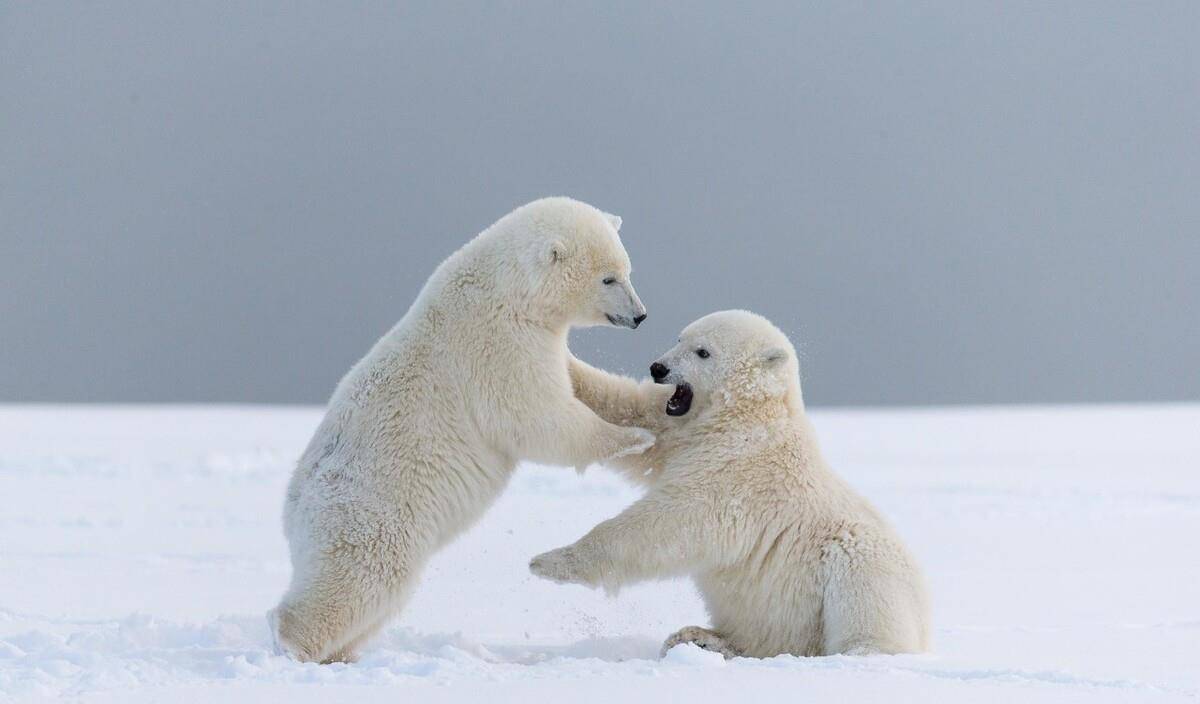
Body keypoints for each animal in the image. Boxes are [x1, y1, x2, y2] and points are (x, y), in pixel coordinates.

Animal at [272, 200, 657, 666]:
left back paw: (340, 654)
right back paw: (293, 642)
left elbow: (571, 385)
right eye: (608, 278)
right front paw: (634, 438)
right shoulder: (495, 343)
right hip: (373, 515)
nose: (639, 315)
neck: (504, 289)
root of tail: (295, 509)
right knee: (363, 577)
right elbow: (535, 416)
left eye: (626, 269)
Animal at [530, 311, 931, 657]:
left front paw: (549, 562)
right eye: (680, 338)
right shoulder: (680, 430)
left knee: (863, 591)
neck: (745, 415)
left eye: (703, 351)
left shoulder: (736, 470)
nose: (658, 368)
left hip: (860, 567)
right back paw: (699, 637)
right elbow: (630, 406)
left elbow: (672, 520)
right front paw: (563, 357)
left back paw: (858, 652)